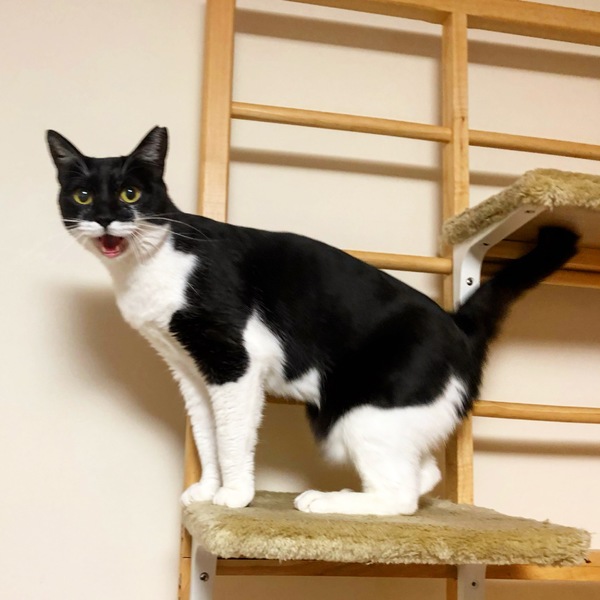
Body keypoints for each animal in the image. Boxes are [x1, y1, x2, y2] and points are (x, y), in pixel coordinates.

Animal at [47, 127, 578, 516]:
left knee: (401, 498)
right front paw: (207, 491)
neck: (150, 265)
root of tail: (457, 324)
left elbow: (232, 435)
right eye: (82, 196)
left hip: (362, 417)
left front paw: (233, 496)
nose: (106, 219)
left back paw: (326, 501)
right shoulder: (190, 371)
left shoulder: (234, 363)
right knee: (423, 474)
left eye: (131, 192)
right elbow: (207, 434)